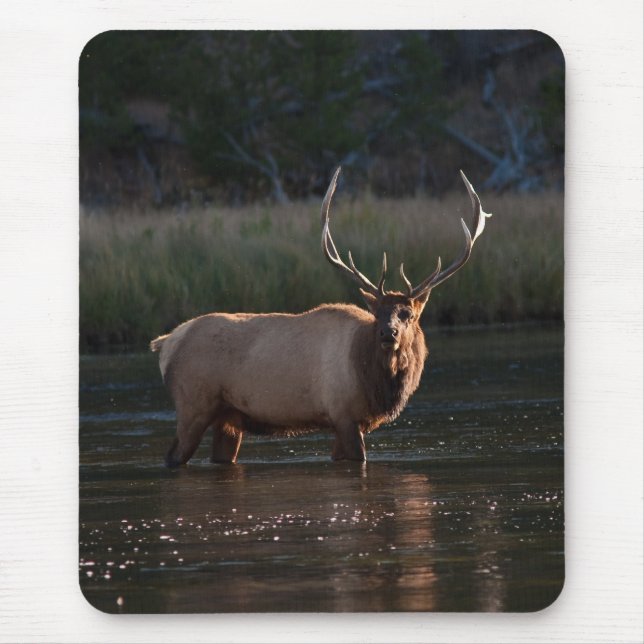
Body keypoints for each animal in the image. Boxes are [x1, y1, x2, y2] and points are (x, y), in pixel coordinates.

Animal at [151, 168, 491, 466]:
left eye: (407, 314)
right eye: (377, 313)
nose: (388, 333)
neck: (374, 382)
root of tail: (166, 342)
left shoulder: (348, 422)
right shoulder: (343, 414)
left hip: (228, 419)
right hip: (193, 405)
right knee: (172, 456)